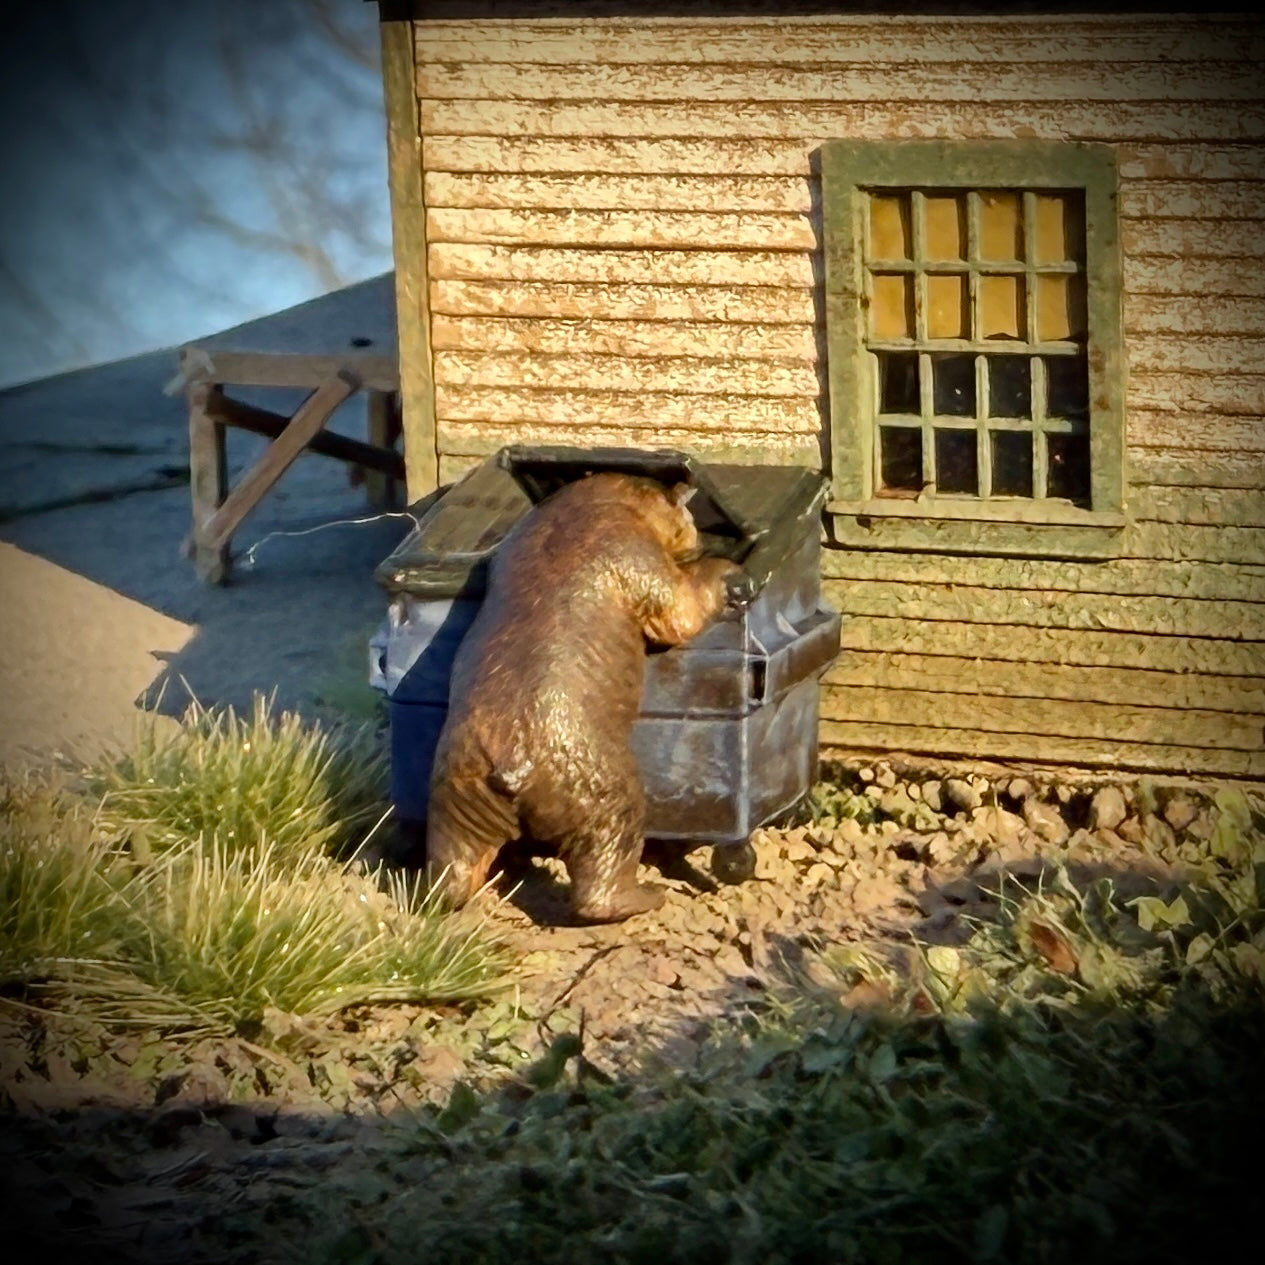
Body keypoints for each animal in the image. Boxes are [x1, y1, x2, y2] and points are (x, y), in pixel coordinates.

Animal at [426, 472, 740, 923]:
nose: (697, 539)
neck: (590, 506)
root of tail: (512, 766)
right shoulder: (636, 556)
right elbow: (679, 612)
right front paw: (726, 570)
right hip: (608, 795)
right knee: (600, 874)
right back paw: (645, 896)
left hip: (454, 799)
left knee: (452, 868)